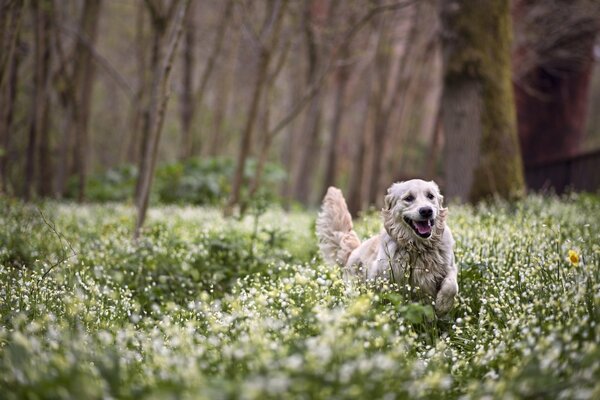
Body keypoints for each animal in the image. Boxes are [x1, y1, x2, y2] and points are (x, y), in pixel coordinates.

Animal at [316, 180, 458, 316]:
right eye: (409, 198)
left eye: (430, 196)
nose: (427, 210)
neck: (418, 247)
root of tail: (352, 252)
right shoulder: (384, 278)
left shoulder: (450, 267)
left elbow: (452, 286)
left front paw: (443, 305)